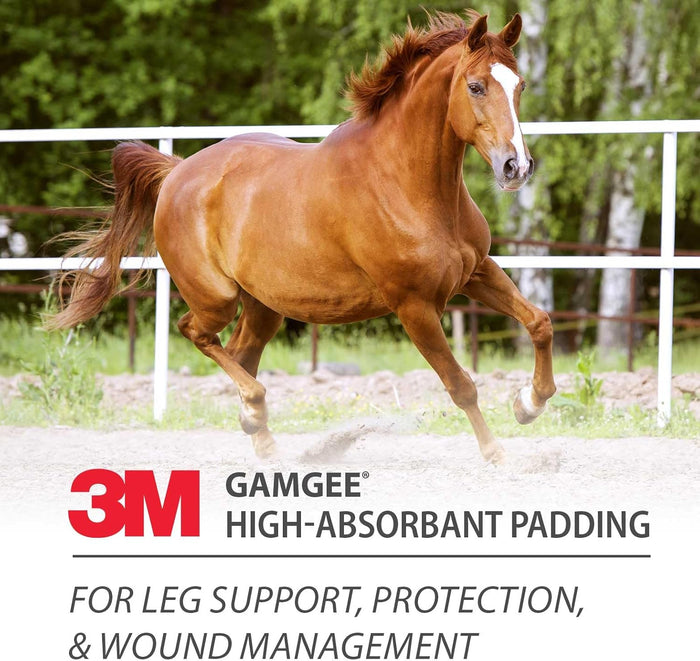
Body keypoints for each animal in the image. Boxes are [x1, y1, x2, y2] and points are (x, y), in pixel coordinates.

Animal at [49, 11, 556, 464]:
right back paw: (256, 408)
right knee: (196, 332)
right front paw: (495, 452)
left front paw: (528, 404)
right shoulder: (413, 305)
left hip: (264, 305)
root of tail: (176, 172)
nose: (516, 167)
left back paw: (263, 439)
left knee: (240, 352)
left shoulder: (477, 272)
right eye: (476, 87)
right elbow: (461, 384)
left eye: (520, 86)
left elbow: (539, 321)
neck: (408, 185)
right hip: (216, 298)